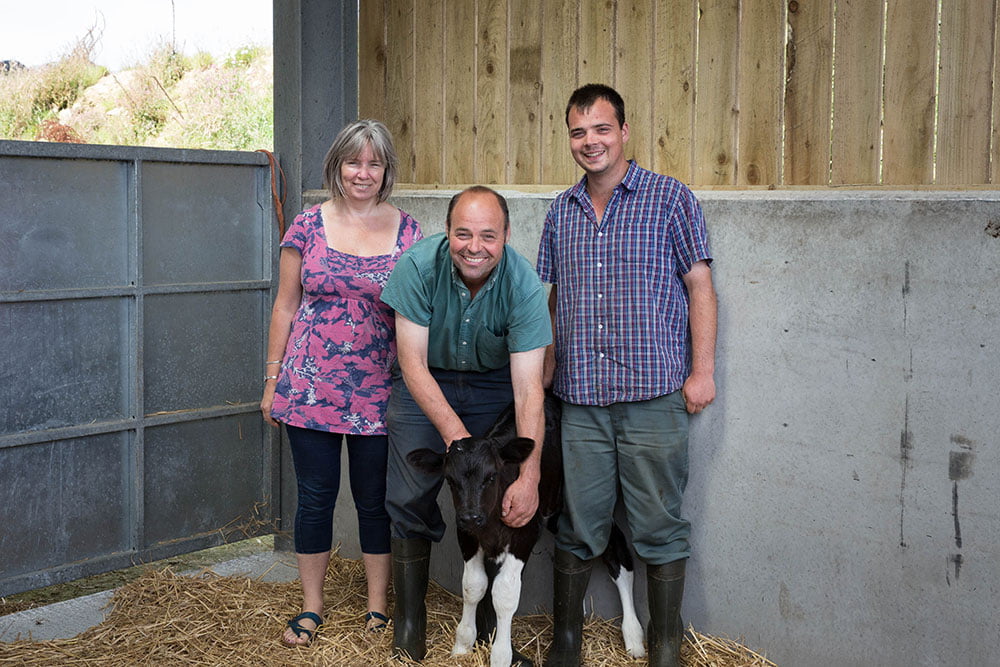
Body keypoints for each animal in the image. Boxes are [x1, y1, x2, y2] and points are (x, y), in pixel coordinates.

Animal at [404, 396, 640, 667]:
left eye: (491, 476)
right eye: (450, 480)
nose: (471, 517)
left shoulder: (523, 533)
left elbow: (504, 594)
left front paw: (501, 656)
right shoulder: (466, 535)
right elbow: (473, 586)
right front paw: (462, 646)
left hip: (589, 502)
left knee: (616, 550)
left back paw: (634, 637)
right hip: (555, 512)